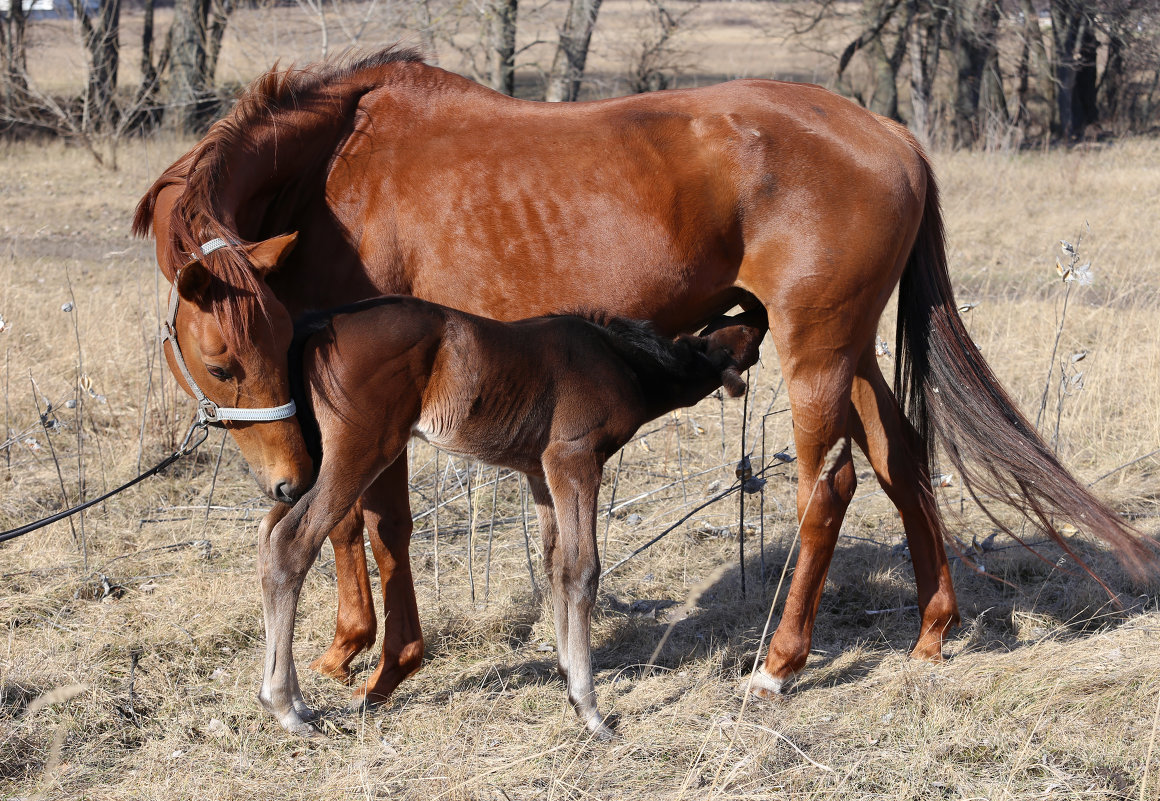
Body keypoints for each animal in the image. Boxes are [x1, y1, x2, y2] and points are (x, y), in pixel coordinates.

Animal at [255, 296, 765, 737]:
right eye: (754, 344)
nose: (744, 380)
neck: (623, 359)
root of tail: (325, 321)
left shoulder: (541, 474)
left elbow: (556, 564)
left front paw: (567, 673)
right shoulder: (575, 459)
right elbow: (582, 570)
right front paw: (588, 709)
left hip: (320, 461)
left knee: (268, 531)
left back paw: (293, 699)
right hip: (362, 452)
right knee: (291, 543)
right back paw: (285, 708)